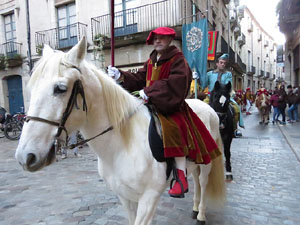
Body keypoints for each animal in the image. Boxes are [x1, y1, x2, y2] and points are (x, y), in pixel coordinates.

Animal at [14, 38, 225, 225]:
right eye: (31, 88)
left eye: (60, 88)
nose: (26, 156)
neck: (122, 145)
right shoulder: (125, 197)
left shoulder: (149, 198)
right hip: (195, 163)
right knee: (196, 180)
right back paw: (195, 208)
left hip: (207, 162)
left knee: (203, 182)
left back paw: (201, 215)